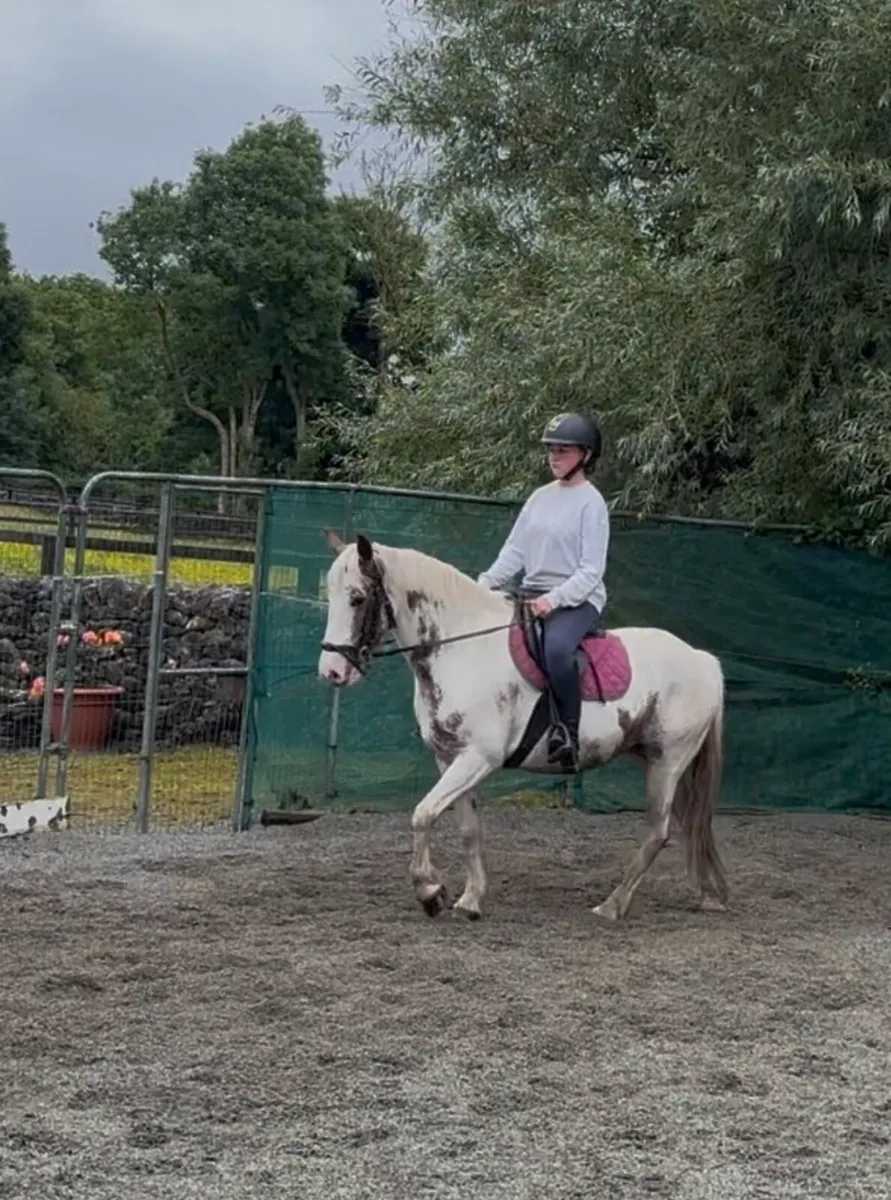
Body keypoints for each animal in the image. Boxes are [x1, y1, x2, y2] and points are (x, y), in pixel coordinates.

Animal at [318, 530, 729, 922]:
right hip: (653, 759)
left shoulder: (478, 758)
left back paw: (611, 906)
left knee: (657, 832)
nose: (331, 672)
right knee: (687, 823)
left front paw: (430, 892)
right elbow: (467, 830)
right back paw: (707, 894)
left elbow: (422, 814)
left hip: (667, 761)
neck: (459, 650)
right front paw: (469, 900)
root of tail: (703, 659)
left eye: (357, 598)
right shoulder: (449, 758)